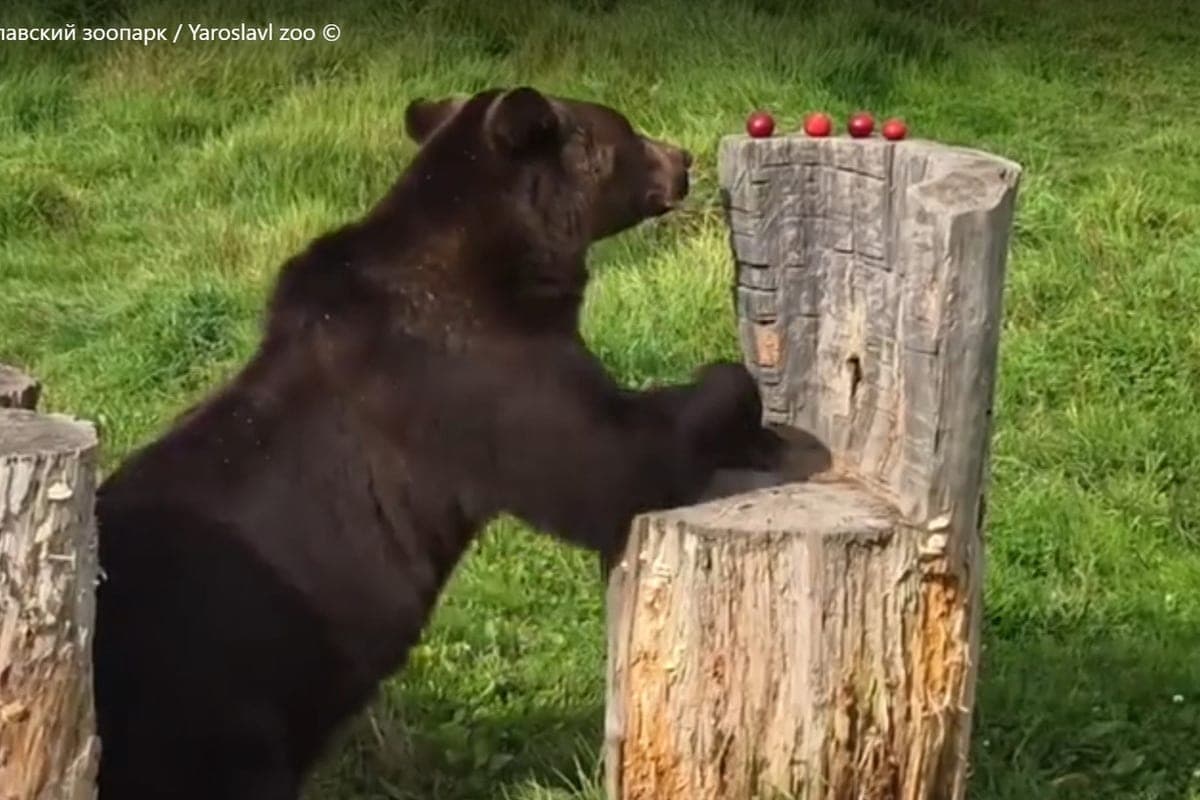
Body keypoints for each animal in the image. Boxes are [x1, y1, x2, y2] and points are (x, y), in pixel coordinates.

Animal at [92, 86, 783, 800]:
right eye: (625, 131)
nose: (682, 159)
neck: (503, 259)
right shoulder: (475, 374)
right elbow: (611, 463)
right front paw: (743, 401)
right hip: (216, 706)